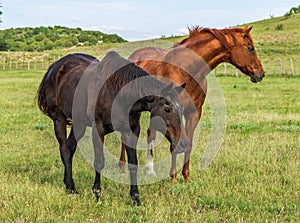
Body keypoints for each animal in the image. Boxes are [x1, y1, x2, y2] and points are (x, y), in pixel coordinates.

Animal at [37, 51, 188, 205]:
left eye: (181, 108)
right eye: (167, 109)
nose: (184, 144)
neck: (119, 92)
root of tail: (53, 68)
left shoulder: (131, 130)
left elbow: (133, 163)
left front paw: (135, 198)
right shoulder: (98, 128)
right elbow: (99, 161)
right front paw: (97, 194)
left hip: (79, 123)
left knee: (70, 148)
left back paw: (70, 186)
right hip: (59, 119)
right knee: (65, 150)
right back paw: (70, 188)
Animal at [119, 26, 264, 183]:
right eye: (250, 48)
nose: (261, 73)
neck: (186, 72)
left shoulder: (194, 113)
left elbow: (188, 143)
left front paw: (186, 177)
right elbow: (174, 144)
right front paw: (173, 178)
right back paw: (124, 168)